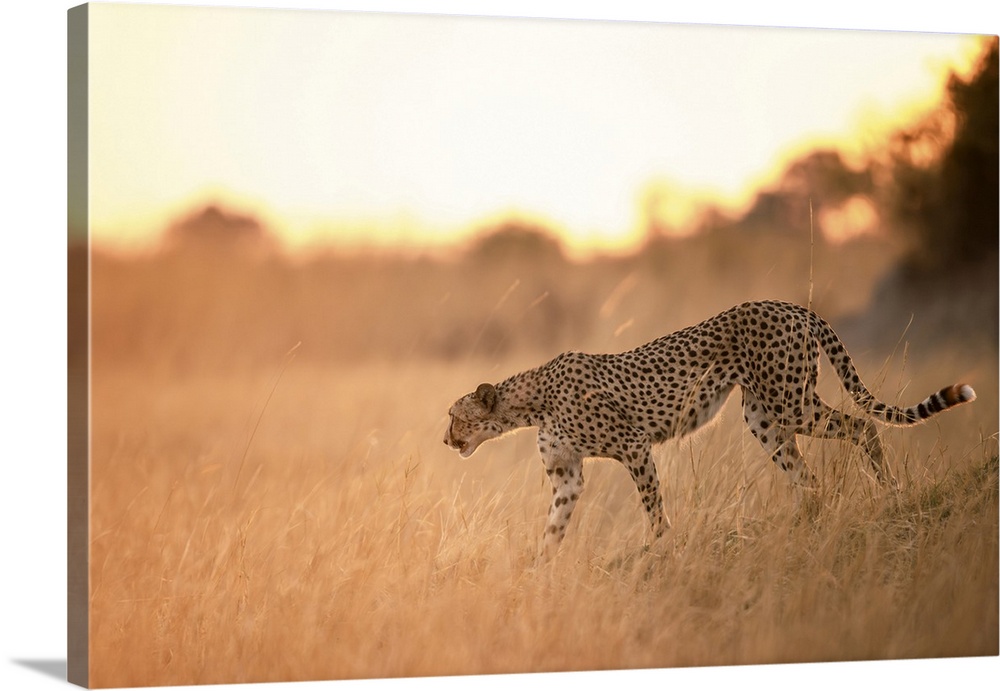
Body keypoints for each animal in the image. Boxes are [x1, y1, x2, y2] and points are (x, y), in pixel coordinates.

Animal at [446, 300, 976, 560]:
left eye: (455, 415)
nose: (446, 440)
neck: (531, 403)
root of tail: (789, 305)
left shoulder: (634, 447)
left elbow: (653, 506)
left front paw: (659, 547)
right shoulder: (568, 477)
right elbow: (553, 527)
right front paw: (538, 569)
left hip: (791, 403)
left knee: (862, 426)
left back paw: (890, 489)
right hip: (764, 418)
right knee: (808, 478)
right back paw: (800, 523)